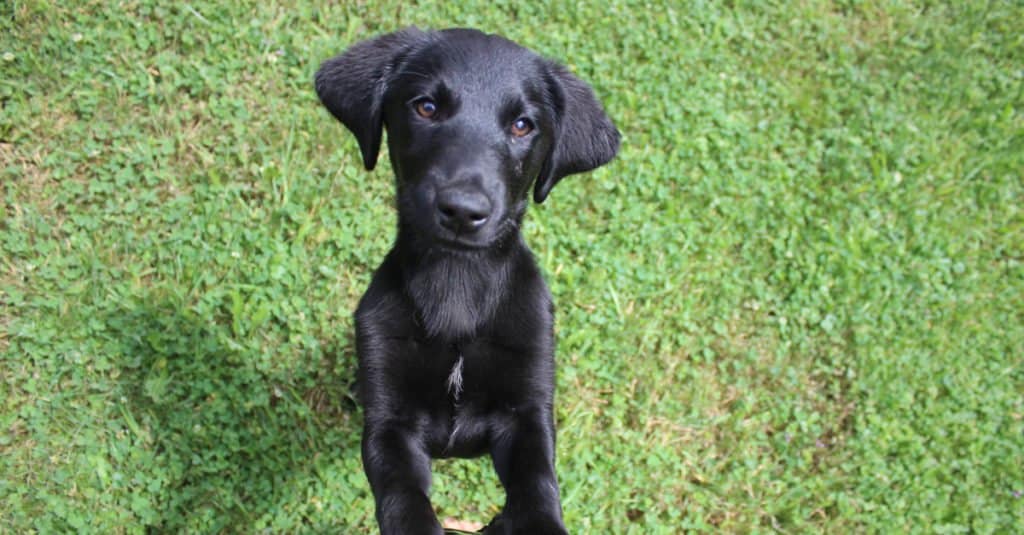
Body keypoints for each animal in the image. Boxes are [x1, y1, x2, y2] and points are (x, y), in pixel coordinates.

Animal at [311, 29, 614, 532]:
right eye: (426, 107)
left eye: (522, 125)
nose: (462, 211)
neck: (457, 284)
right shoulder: (390, 421)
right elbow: (402, 495)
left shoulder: (527, 413)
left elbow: (537, 484)